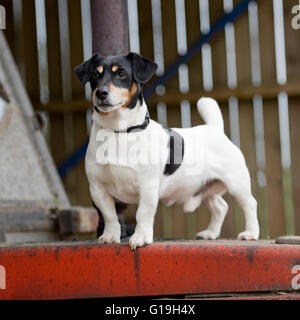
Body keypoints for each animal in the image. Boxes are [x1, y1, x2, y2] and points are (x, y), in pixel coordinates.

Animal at [74, 52, 258, 249]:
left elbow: (143, 214)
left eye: (122, 74)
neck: (119, 131)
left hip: (236, 183)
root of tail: (215, 128)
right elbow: (109, 215)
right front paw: (110, 235)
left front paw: (141, 237)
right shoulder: (98, 188)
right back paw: (211, 233)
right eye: (95, 75)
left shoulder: (148, 186)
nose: (101, 93)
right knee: (220, 207)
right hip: (204, 187)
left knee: (250, 203)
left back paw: (251, 233)